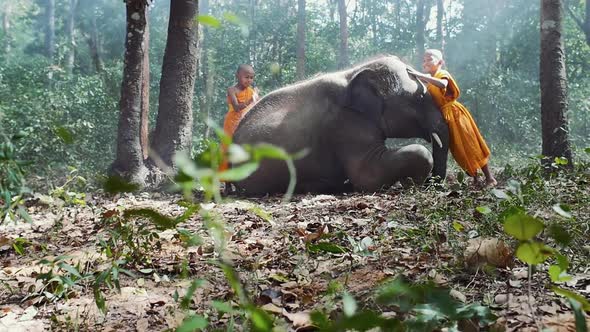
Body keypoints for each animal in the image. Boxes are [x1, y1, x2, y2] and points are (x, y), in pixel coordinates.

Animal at [234, 54, 450, 195]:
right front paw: (410, 182)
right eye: (420, 97)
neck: (355, 72)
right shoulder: (345, 124)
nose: (433, 184)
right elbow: (367, 177)